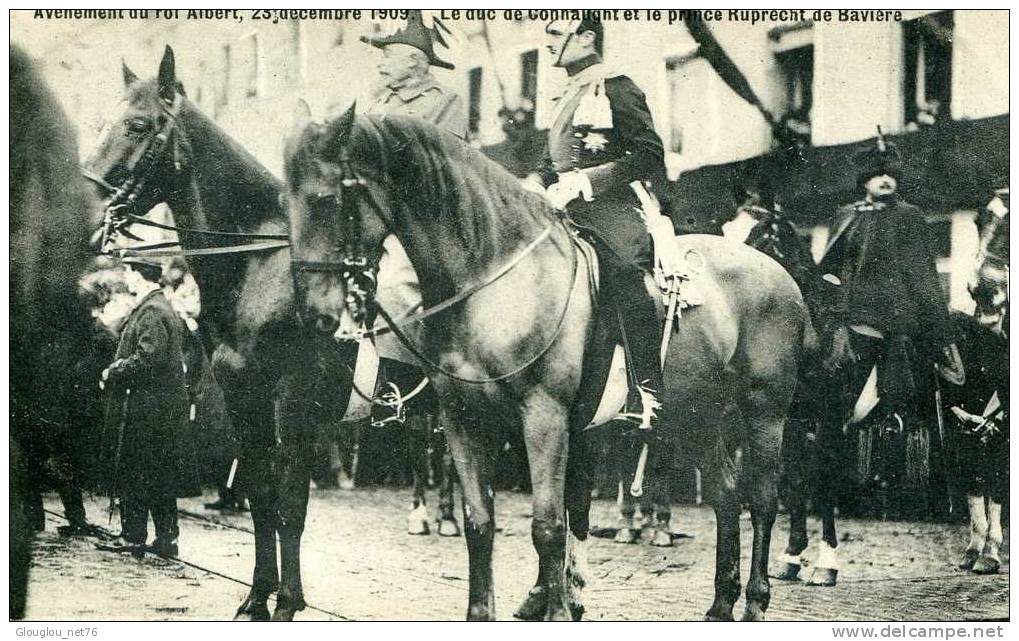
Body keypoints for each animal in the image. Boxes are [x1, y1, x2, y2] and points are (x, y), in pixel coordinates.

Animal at [79, 43, 458, 615]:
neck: (259, 264)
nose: (87, 214)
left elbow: (290, 502)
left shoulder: (292, 399)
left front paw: (288, 602)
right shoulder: (244, 397)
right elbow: (260, 496)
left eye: (137, 125)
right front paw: (257, 597)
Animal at [283, 107, 807, 615]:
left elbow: (550, 526)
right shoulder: (463, 419)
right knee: (726, 493)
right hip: (695, 415)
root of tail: (782, 277)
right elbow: (480, 523)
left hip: (764, 413)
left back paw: (755, 600)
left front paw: (558, 606)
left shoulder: (545, 417)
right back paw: (721, 603)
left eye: (327, 199)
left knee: (762, 498)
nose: (313, 311)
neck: (494, 277)